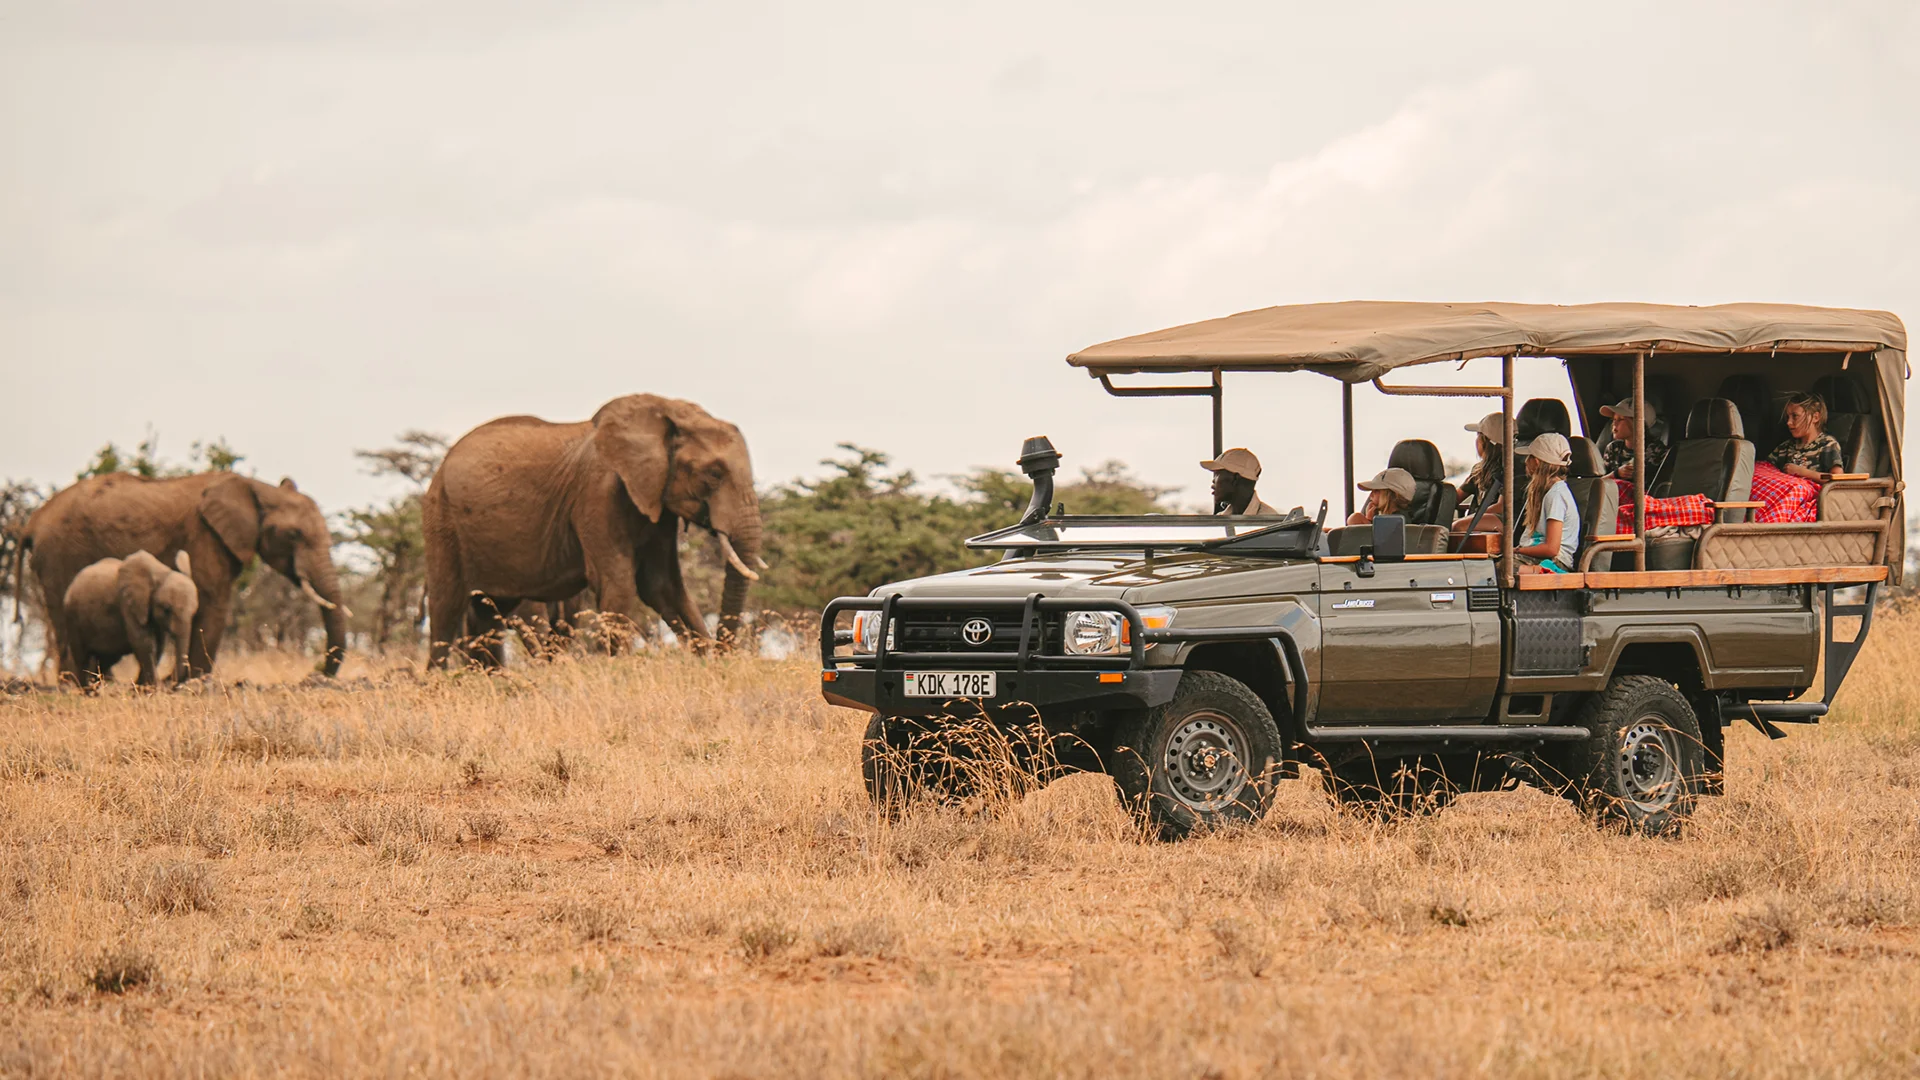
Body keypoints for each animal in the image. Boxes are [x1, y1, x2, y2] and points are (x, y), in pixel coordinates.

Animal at [60, 551, 199, 688]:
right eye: (167, 609)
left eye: (194, 611)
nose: (172, 684)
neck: (161, 573)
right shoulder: (128, 603)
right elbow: (143, 643)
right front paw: (150, 688)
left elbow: (158, 645)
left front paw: (143, 688)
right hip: (72, 617)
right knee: (82, 658)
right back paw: (87, 690)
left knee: (105, 660)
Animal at [424, 394, 764, 668]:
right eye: (714, 474)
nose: (724, 656)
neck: (663, 415)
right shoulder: (598, 493)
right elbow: (619, 582)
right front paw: (617, 671)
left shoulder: (657, 504)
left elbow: (661, 585)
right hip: (442, 519)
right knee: (446, 609)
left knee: (486, 612)